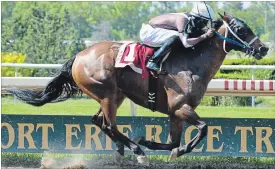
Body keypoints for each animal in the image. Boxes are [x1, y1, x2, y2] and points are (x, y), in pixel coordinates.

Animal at [9, 12, 270, 165]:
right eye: (241, 28)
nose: (263, 49)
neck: (192, 62)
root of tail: (79, 55)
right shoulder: (180, 106)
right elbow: (204, 128)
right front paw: (151, 145)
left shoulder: (175, 113)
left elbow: (174, 142)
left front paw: (164, 147)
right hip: (106, 93)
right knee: (109, 125)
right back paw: (137, 152)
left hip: (115, 96)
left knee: (99, 121)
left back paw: (124, 150)